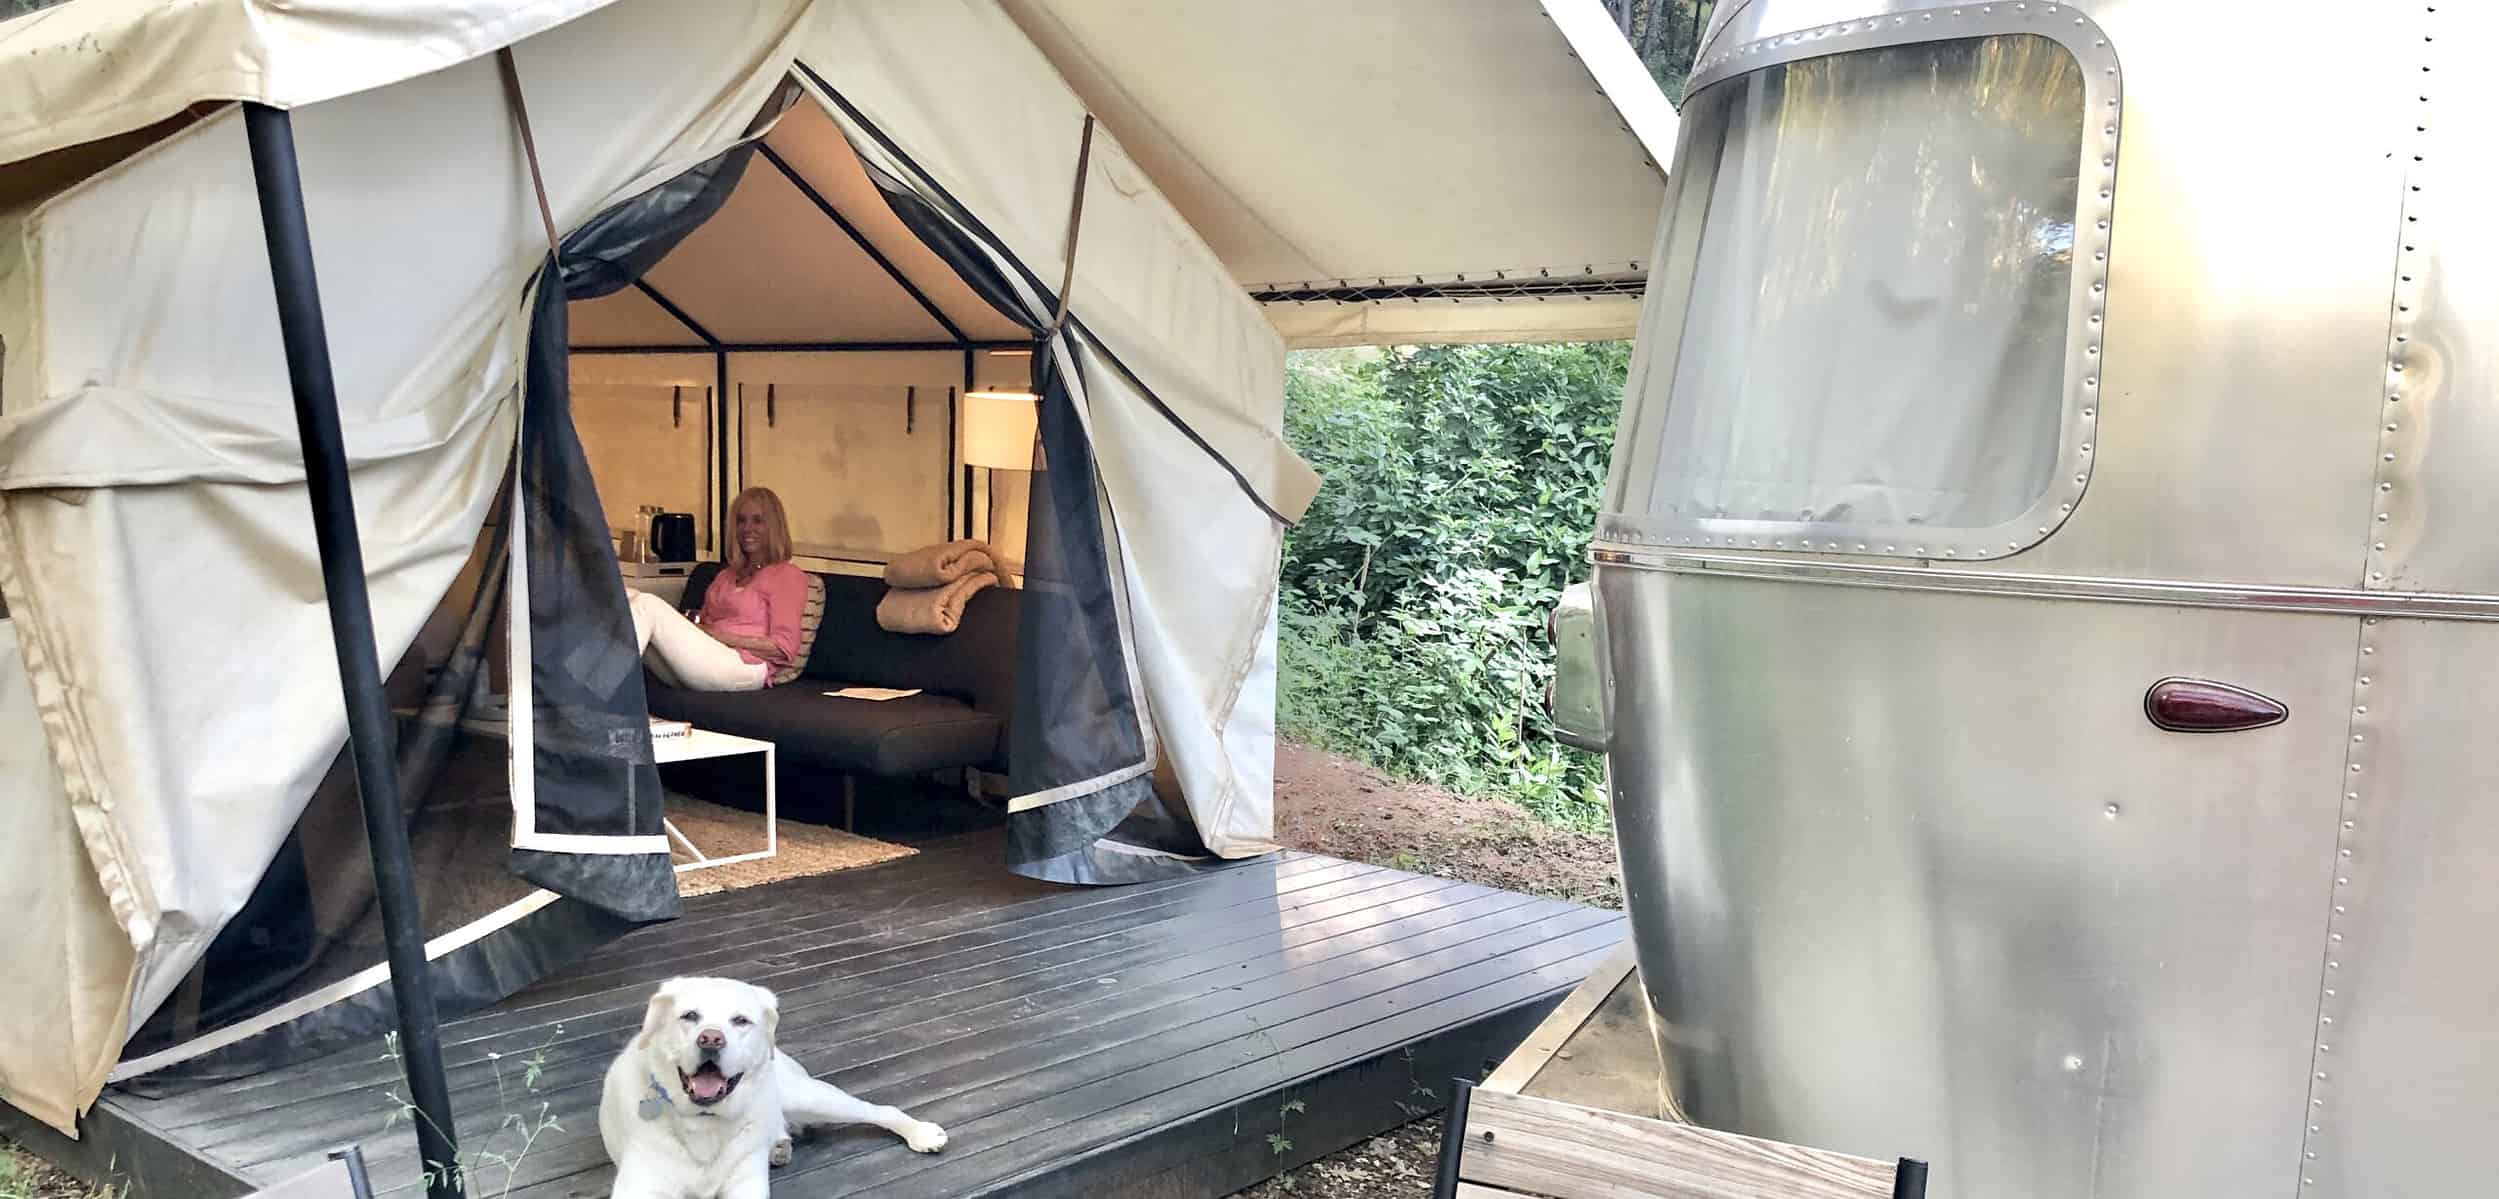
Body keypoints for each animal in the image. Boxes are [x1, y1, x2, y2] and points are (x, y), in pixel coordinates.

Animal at [602, 979, 944, 1194]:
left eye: (740, 1020)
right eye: (689, 1016)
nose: (711, 1038)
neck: (706, 1123)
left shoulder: (745, 1186)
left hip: (807, 1097)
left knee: (880, 1109)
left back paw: (922, 1133)